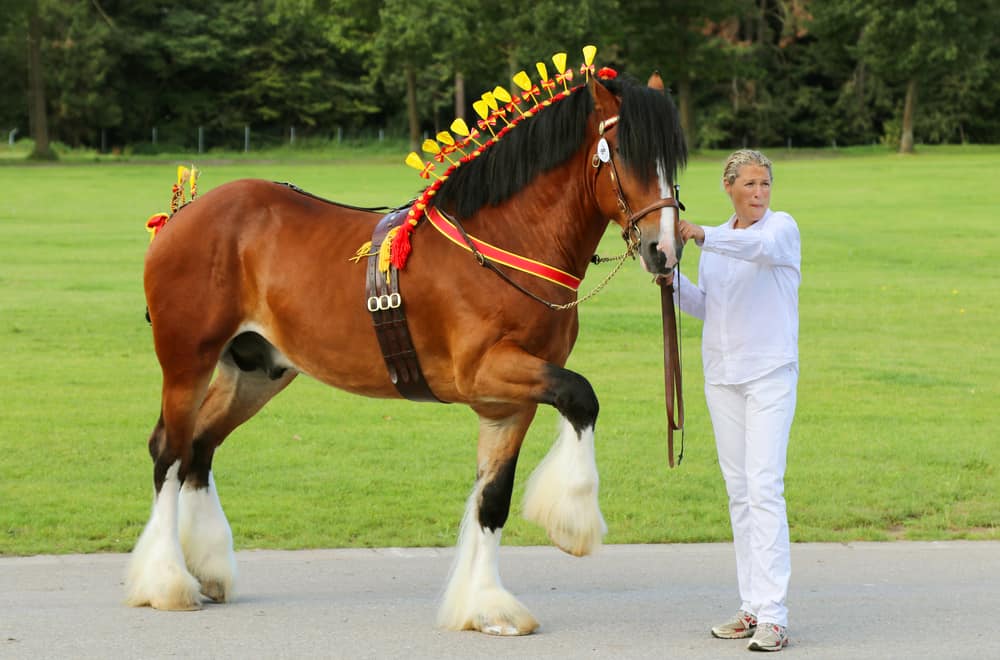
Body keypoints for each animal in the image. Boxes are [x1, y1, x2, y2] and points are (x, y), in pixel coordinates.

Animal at [126, 69, 687, 636]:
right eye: (626, 153)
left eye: (674, 162)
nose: (665, 251)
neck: (503, 242)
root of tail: (182, 216)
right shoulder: (485, 373)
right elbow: (582, 396)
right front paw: (571, 522)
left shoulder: (510, 402)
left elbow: (492, 500)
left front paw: (486, 606)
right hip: (187, 362)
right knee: (169, 453)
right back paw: (166, 583)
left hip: (255, 371)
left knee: (200, 448)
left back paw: (208, 569)